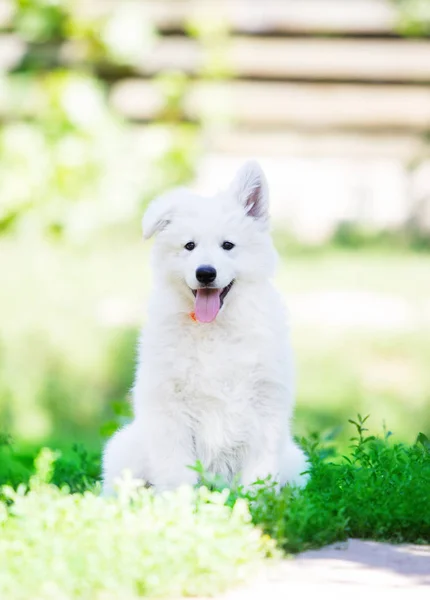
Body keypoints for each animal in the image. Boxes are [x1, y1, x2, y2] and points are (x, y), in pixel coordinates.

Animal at [102, 162, 308, 494]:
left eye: (228, 245)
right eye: (190, 246)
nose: (205, 273)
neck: (214, 329)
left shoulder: (265, 405)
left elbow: (258, 475)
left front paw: (256, 505)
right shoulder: (169, 407)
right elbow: (176, 471)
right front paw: (180, 503)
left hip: (295, 461)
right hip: (124, 449)